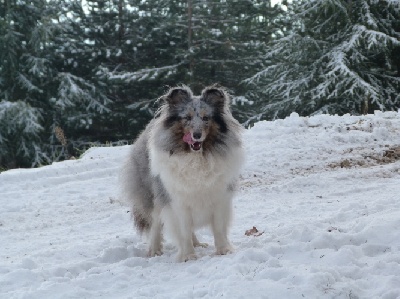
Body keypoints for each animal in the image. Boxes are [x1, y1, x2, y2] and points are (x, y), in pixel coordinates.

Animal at [120, 85, 245, 262]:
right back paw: (154, 251)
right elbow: (183, 230)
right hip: (155, 196)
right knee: (155, 224)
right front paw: (188, 256)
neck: (196, 157)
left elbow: (219, 227)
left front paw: (224, 250)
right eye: (187, 117)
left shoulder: (220, 197)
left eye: (206, 118)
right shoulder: (177, 201)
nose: (196, 136)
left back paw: (198, 244)